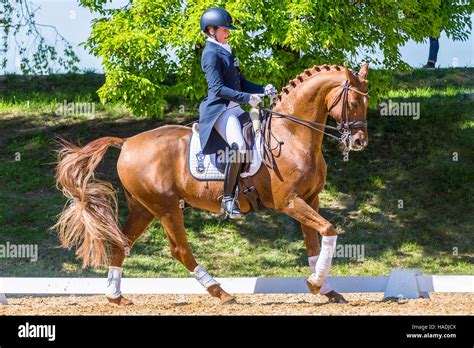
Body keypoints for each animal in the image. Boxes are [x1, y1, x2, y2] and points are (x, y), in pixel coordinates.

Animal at [52, 62, 370, 304]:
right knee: (180, 250)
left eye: (367, 103)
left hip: (144, 207)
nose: (359, 142)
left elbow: (314, 244)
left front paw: (325, 288)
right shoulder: (290, 202)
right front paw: (316, 283)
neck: (291, 135)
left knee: (122, 244)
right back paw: (221, 292)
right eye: (354, 102)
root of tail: (128, 142)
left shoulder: (310, 199)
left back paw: (116, 296)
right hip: (166, 207)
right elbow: (329, 230)